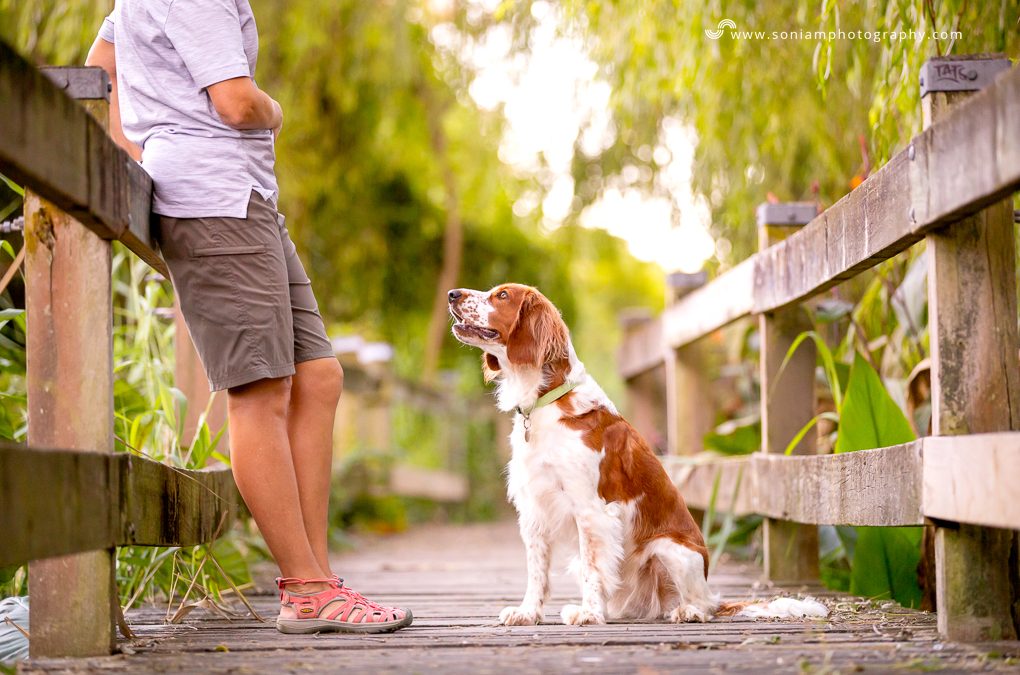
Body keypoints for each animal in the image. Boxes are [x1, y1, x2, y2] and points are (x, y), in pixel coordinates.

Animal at [448, 283, 828, 628]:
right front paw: (528, 613)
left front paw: (588, 613)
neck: (545, 400)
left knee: (701, 605)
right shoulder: (534, 510)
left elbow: (591, 568)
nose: (453, 294)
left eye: (502, 295)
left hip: (670, 550)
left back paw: (687, 611)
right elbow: (537, 571)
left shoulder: (591, 509)